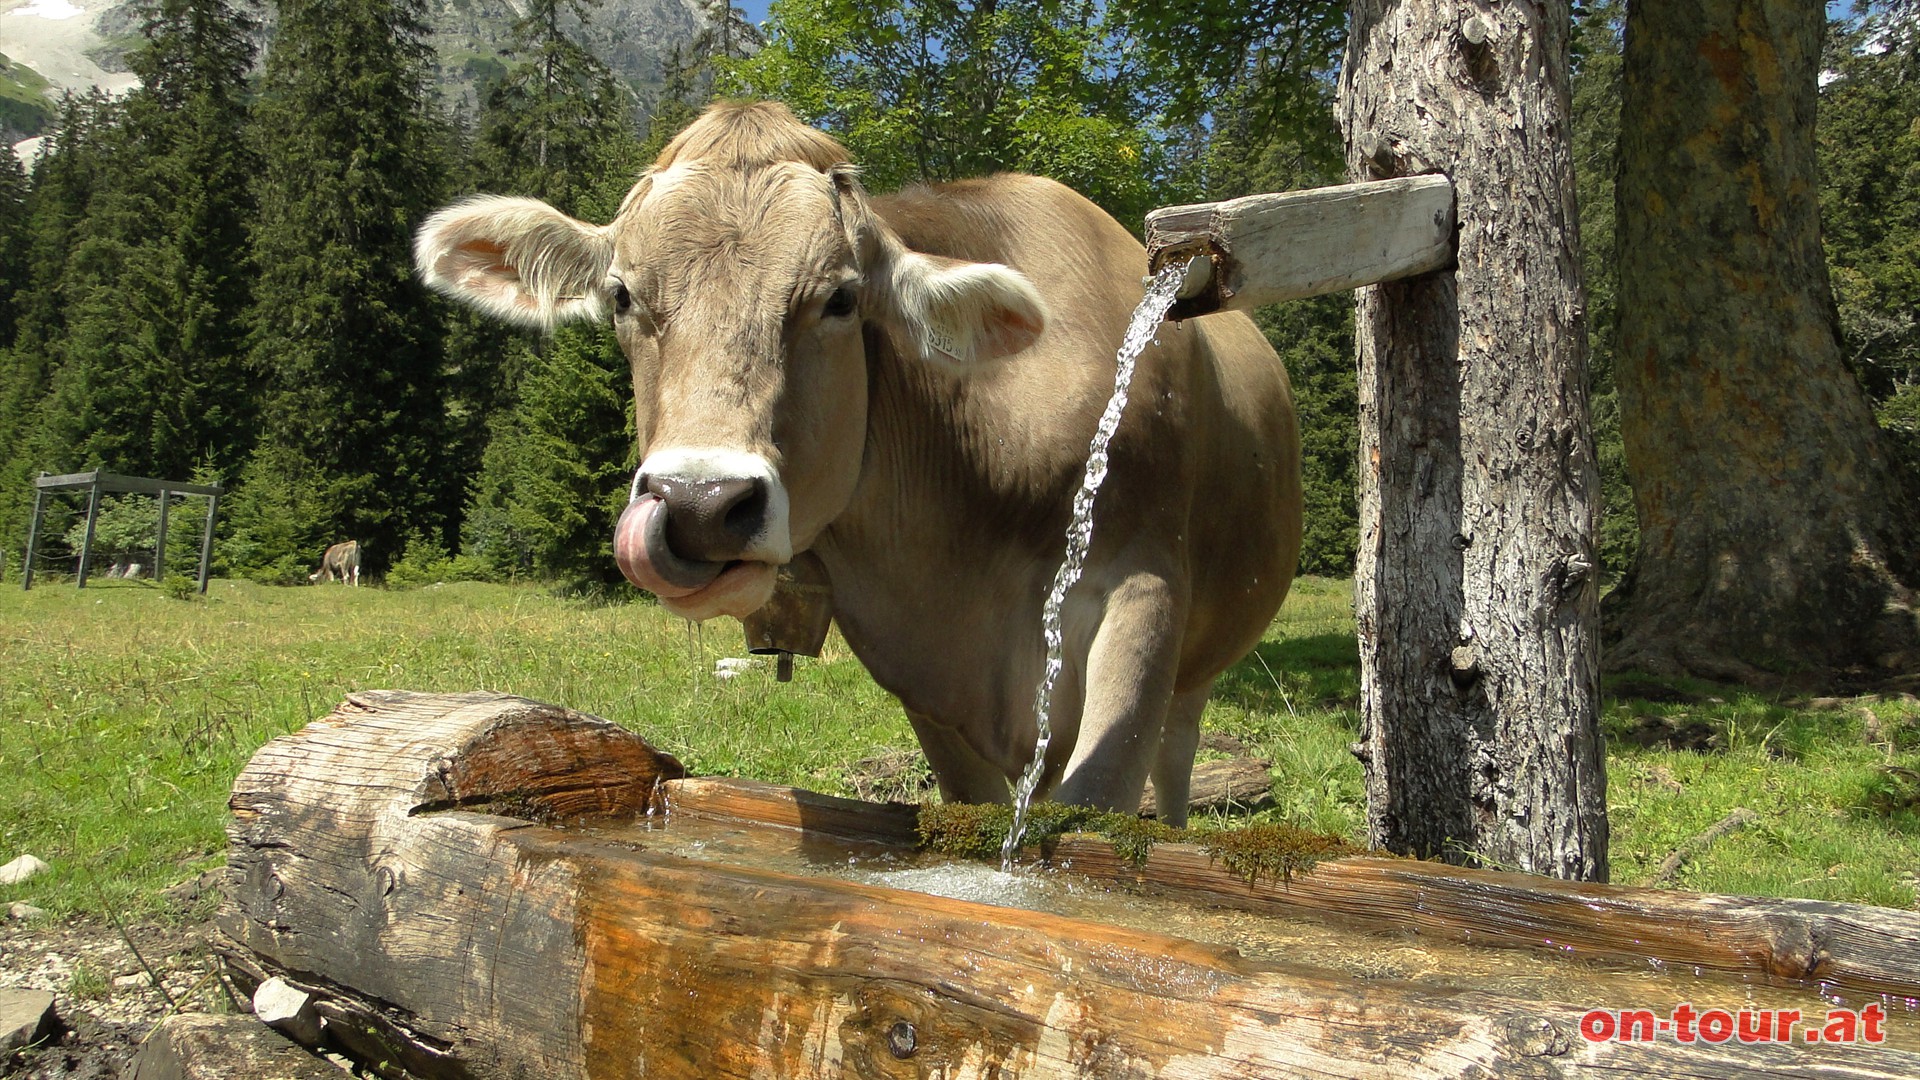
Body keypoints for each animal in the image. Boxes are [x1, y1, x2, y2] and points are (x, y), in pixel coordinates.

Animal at [410, 102, 1297, 822]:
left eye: (838, 299)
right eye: (624, 296)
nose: (700, 503)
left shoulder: (1143, 589)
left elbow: (1093, 810)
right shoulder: (924, 678)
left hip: (1198, 664)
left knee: (1176, 764)